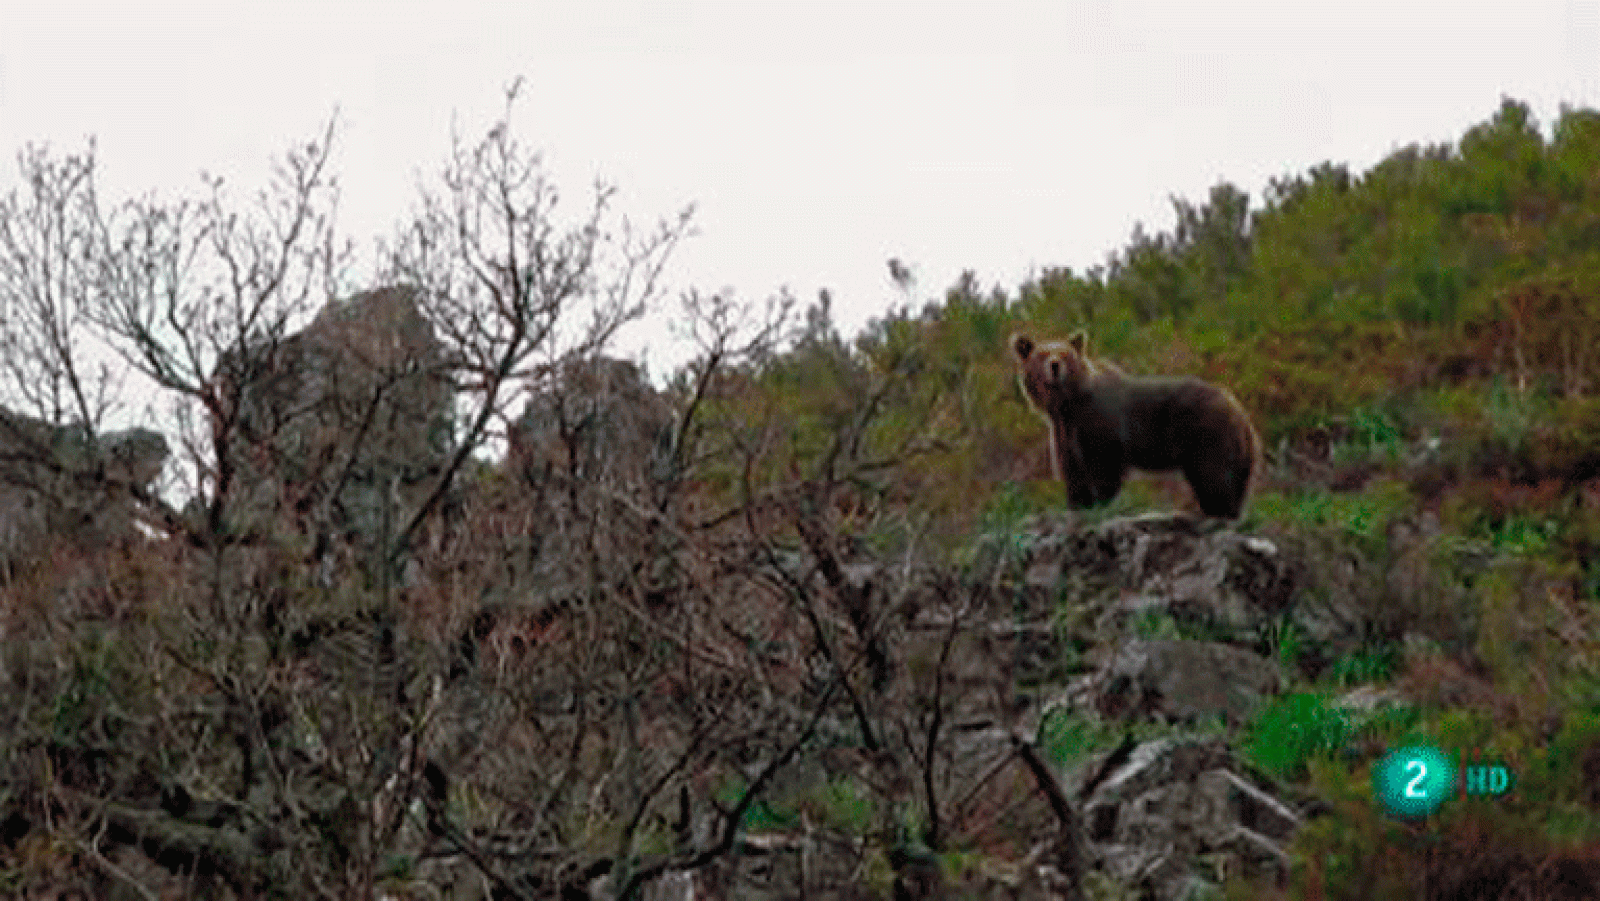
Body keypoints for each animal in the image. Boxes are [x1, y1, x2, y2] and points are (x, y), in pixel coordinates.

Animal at [1011, 331, 1259, 519]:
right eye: (1041, 355)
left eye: (1065, 354)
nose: (1054, 366)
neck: (1067, 404)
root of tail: (1238, 408)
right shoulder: (1064, 433)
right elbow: (1072, 470)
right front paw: (1078, 504)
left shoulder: (1101, 424)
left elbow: (1103, 467)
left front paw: (1101, 503)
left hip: (1206, 432)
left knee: (1214, 476)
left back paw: (1219, 513)